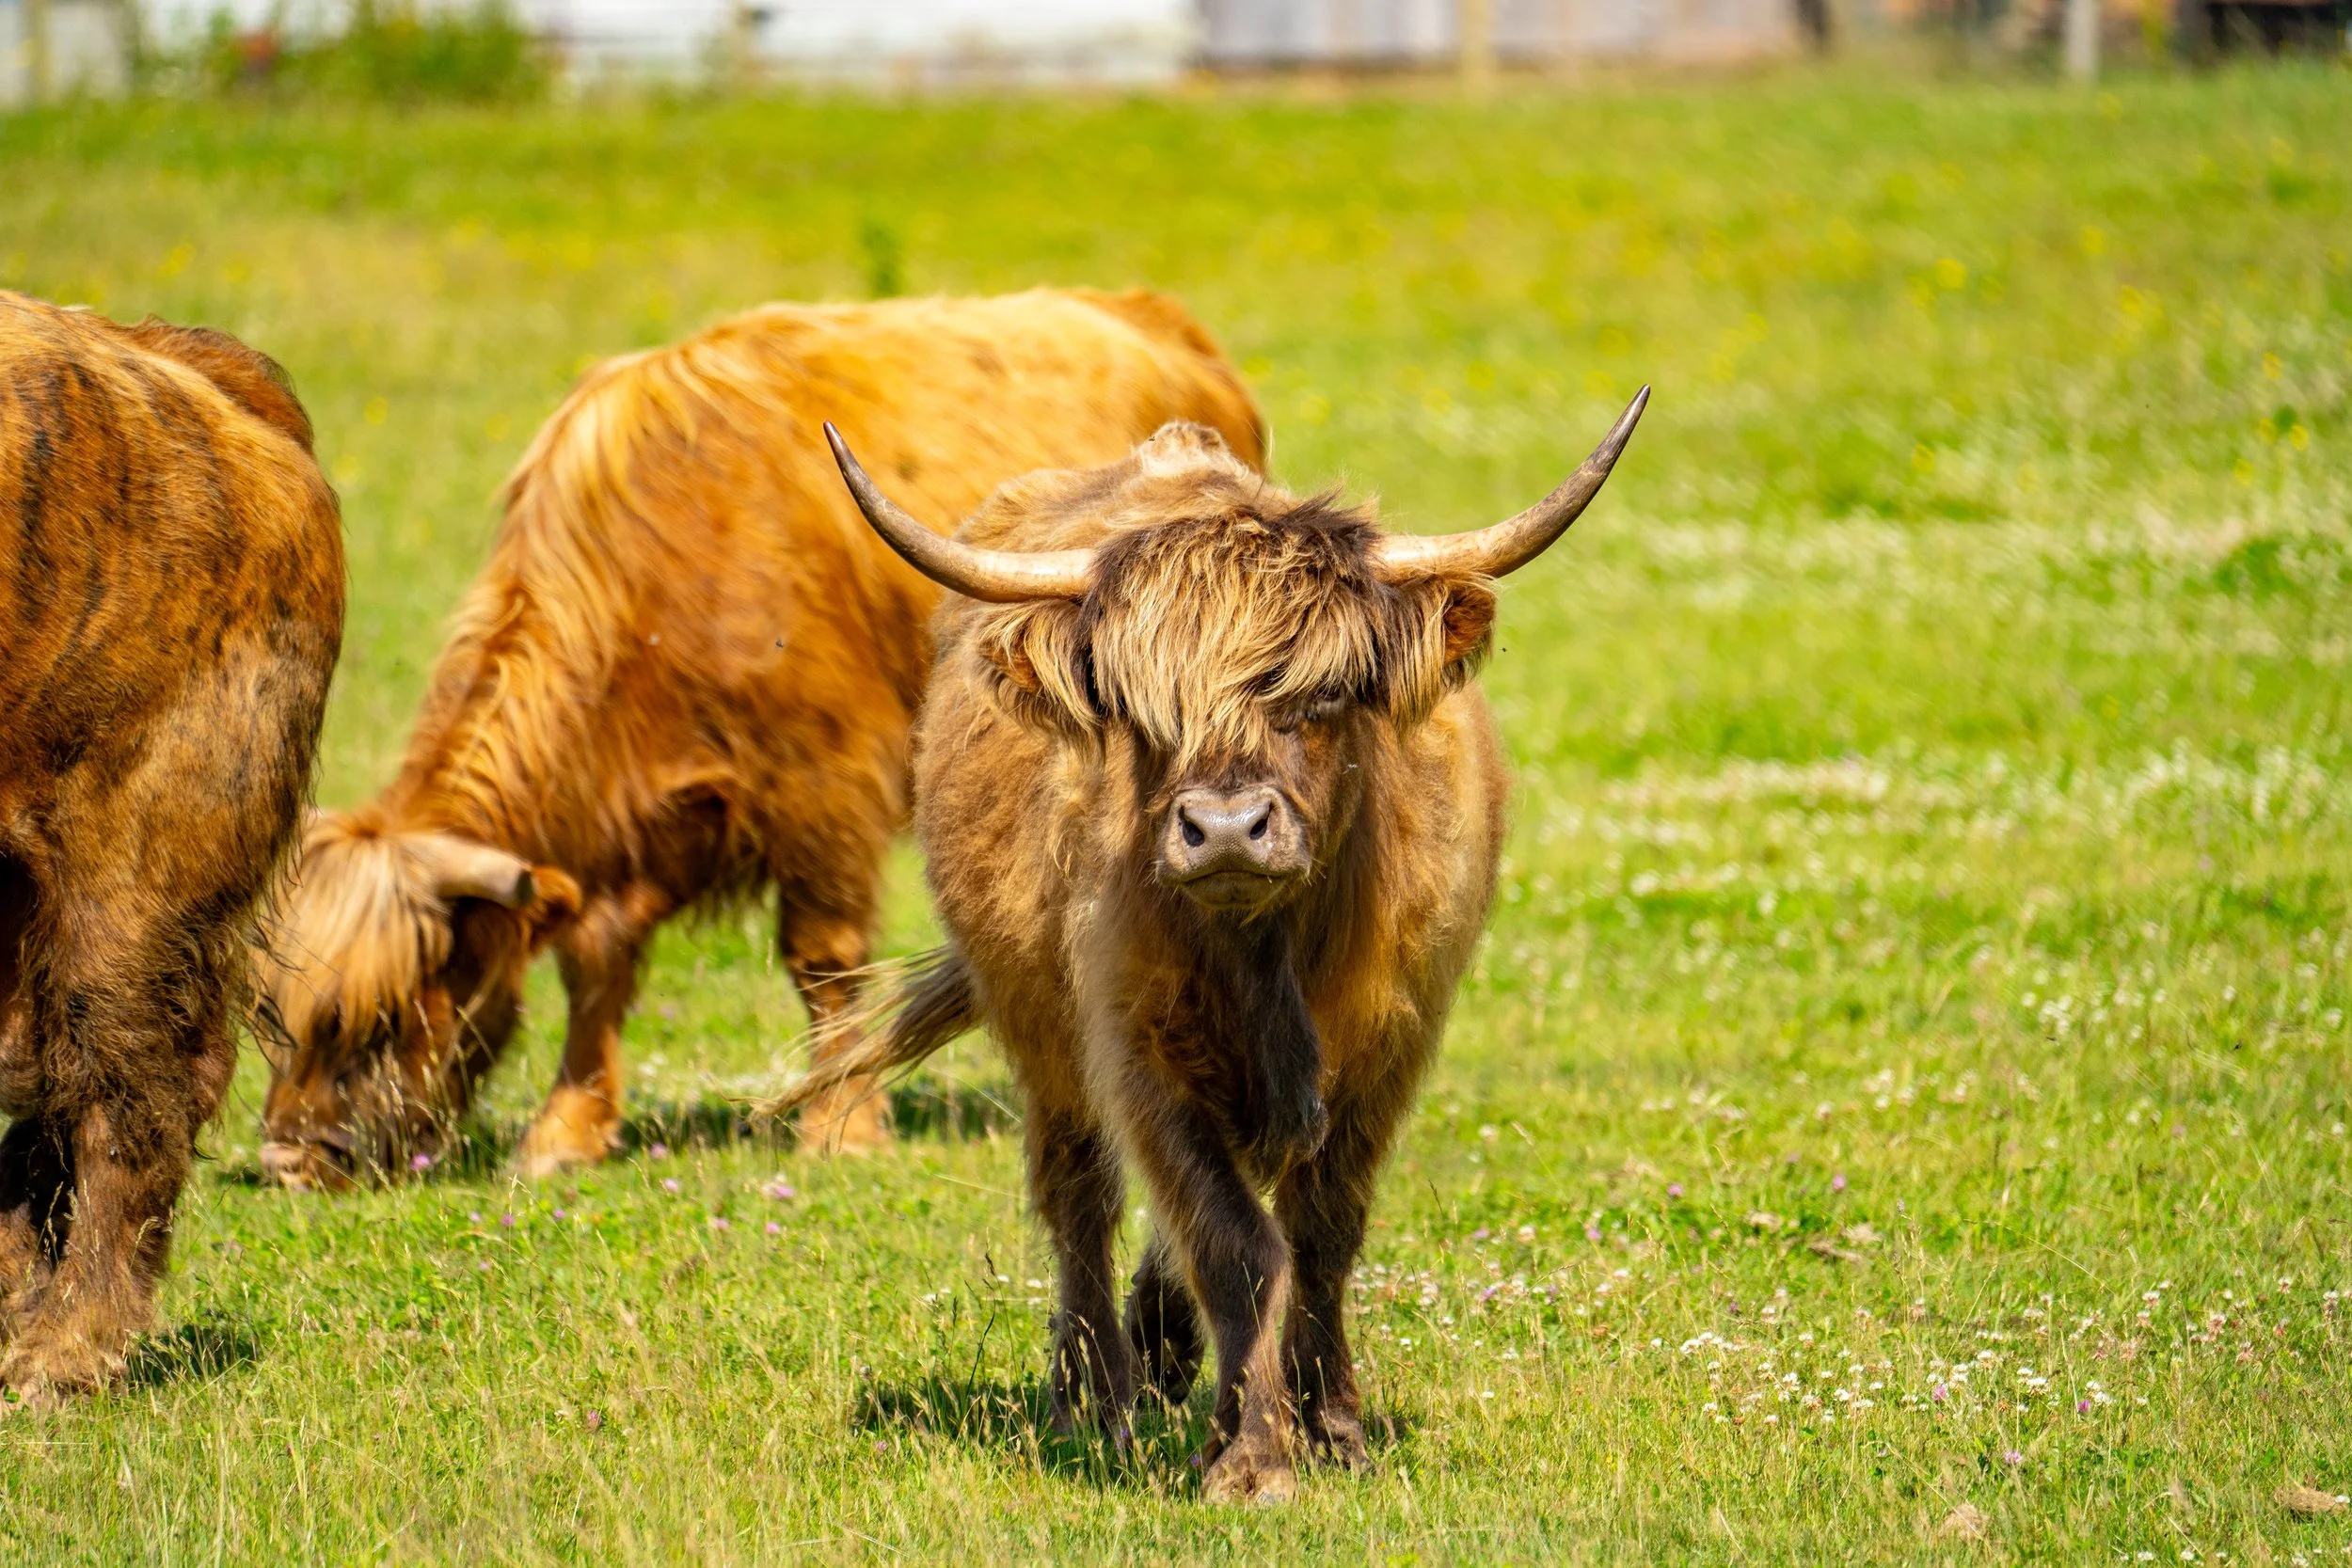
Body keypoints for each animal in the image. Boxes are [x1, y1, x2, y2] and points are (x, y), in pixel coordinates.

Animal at [255, 288, 1264, 1189]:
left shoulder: (820, 787)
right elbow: (594, 965)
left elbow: (822, 960)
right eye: (274, 1014)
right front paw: (567, 1129)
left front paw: (842, 1125)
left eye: (383, 1015)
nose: (291, 1161)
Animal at [780, 389, 1646, 1500]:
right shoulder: (1138, 1052)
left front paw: (1331, 1424)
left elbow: (1321, 1232)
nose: (1227, 828)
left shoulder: (1393, 1043)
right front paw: (1252, 1452)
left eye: (1323, 694)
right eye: (1142, 712)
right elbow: (1235, 1240)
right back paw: (1093, 1398)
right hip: (1039, 1028)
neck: (1272, 958)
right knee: (1079, 1196)